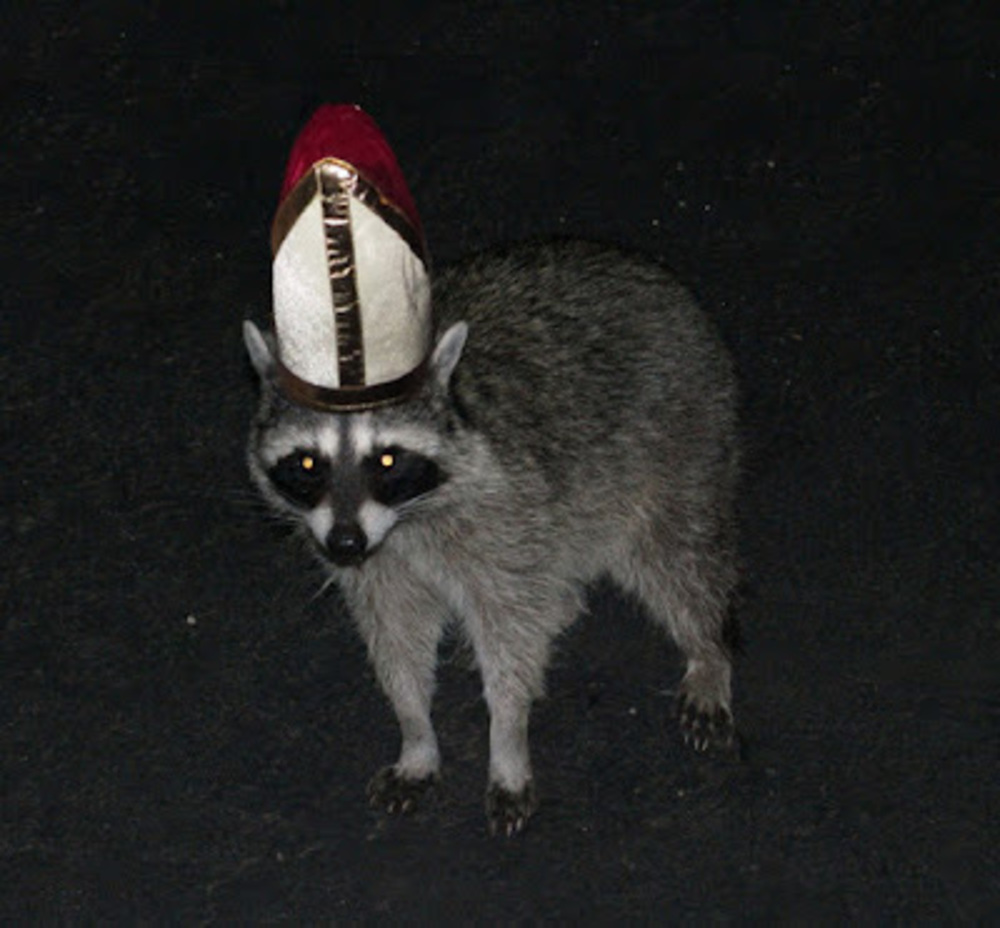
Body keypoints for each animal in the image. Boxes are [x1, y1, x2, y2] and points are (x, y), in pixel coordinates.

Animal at [244, 239, 740, 835]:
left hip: (682, 437)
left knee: (678, 559)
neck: (404, 521)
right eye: (308, 463)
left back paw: (708, 649)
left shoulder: (503, 514)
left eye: (386, 460)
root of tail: (651, 273)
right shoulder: (382, 562)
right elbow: (396, 638)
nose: (344, 545)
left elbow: (510, 638)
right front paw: (415, 730)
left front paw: (507, 737)